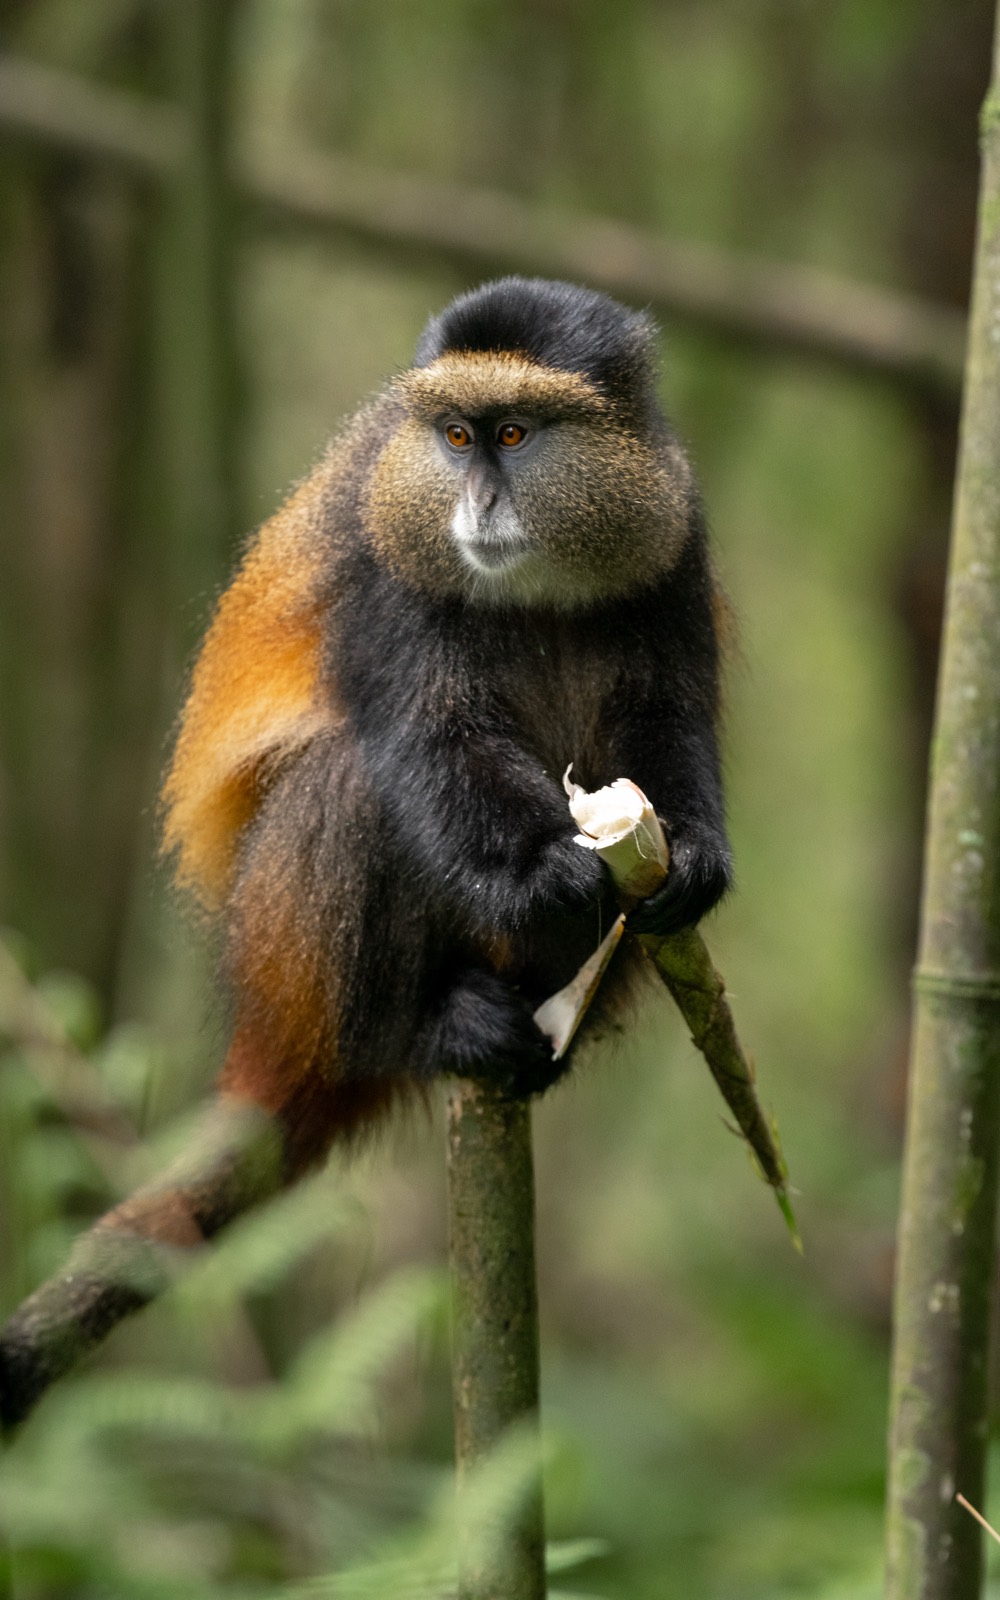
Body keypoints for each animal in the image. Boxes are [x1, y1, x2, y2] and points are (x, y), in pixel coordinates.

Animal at [0, 277, 731, 1424]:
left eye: (513, 435)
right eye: (453, 435)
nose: (475, 506)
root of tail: (272, 1030)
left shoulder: (675, 541)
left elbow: (667, 722)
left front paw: (693, 861)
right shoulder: (380, 566)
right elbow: (429, 740)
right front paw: (539, 874)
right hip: (295, 962)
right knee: (347, 785)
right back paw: (426, 1027)